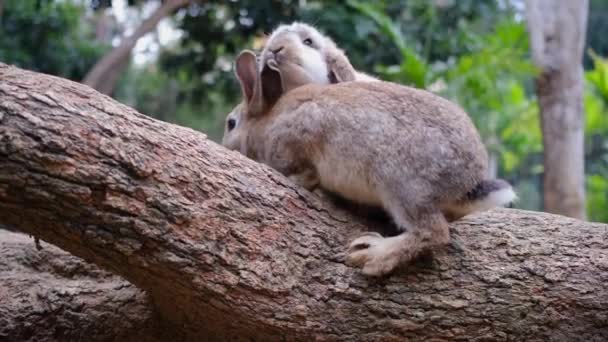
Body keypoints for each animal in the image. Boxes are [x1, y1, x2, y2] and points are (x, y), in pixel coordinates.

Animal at [226, 50, 516, 276]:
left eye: (230, 123)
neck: (266, 124)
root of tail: (469, 181)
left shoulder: (297, 138)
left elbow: (306, 173)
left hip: (401, 184)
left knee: (433, 232)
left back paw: (372, 254)